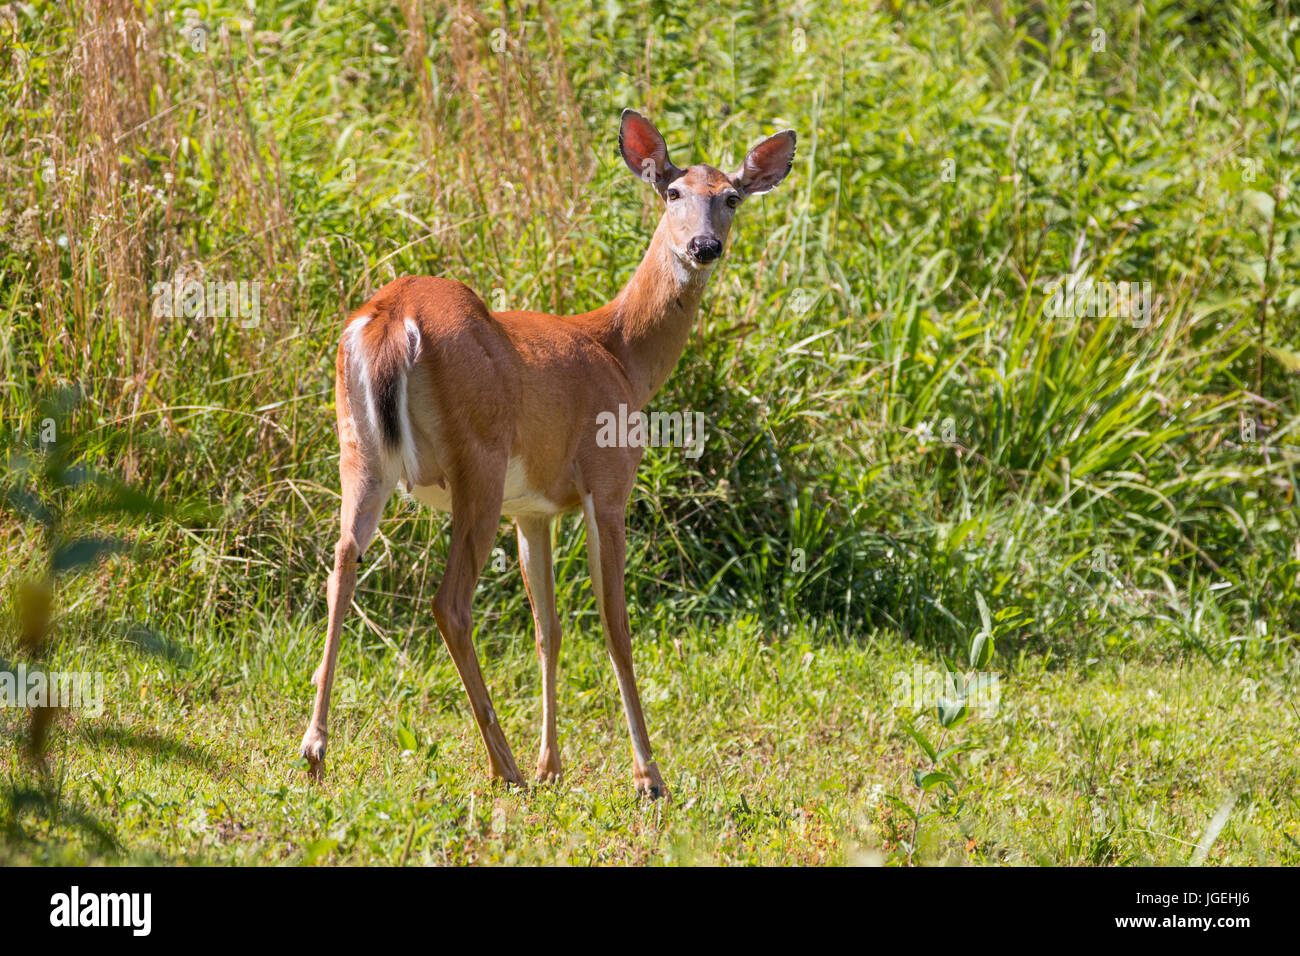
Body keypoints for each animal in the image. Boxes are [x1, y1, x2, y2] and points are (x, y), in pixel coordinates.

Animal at [299, 106, 795, 801]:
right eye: (672, 192)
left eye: (731, 197)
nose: (704, 247)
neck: (621, 353)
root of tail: (392, 318)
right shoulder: (607, 484)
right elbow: (615, 626)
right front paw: (648, 776)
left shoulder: (532, 509)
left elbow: (549, 629)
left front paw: (552, 764)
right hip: (476, 460)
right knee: (450, 602)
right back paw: (500, 764)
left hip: (360, 452)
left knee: (341, 562)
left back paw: (316, 749)